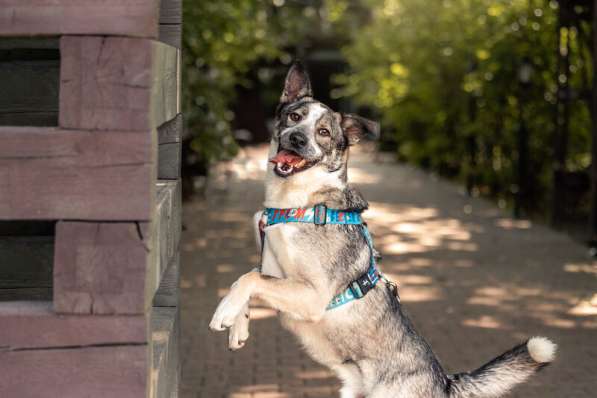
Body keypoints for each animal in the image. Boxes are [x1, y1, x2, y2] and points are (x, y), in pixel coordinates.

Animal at [208, 60, 556, 396]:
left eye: (323, 132)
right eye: (294, 116)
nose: (296, 138)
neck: (300, 203)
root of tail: (444, 382)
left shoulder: (313, 295)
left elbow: (250, 278)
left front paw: (224, 312)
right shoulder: (273, 265)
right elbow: (252, 277)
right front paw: (238, 323)